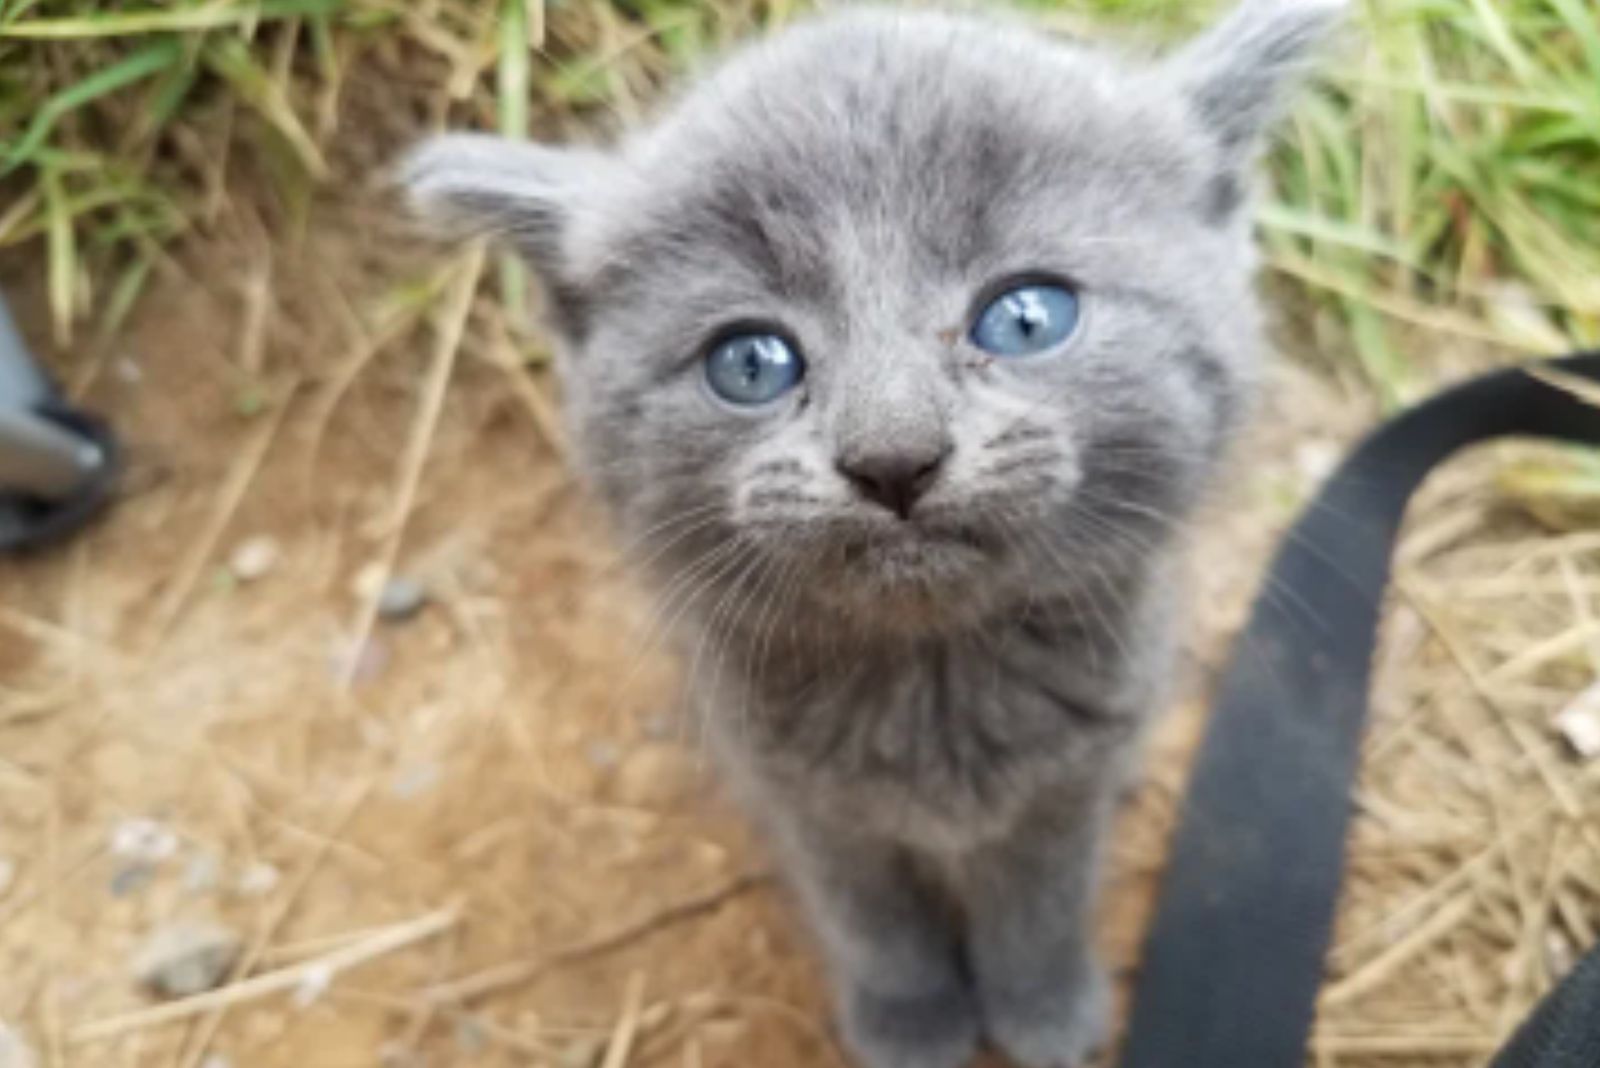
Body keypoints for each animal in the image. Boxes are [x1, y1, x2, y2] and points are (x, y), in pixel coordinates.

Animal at [406, 4, 1344, 1061]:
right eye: (750, 362)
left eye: (1026, 317)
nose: (894, 455)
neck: (933, 686)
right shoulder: (807, 799)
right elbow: (872, 918)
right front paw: (911, 1019)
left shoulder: (1068, 780)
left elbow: (1042, 901)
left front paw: (1043, 1006)